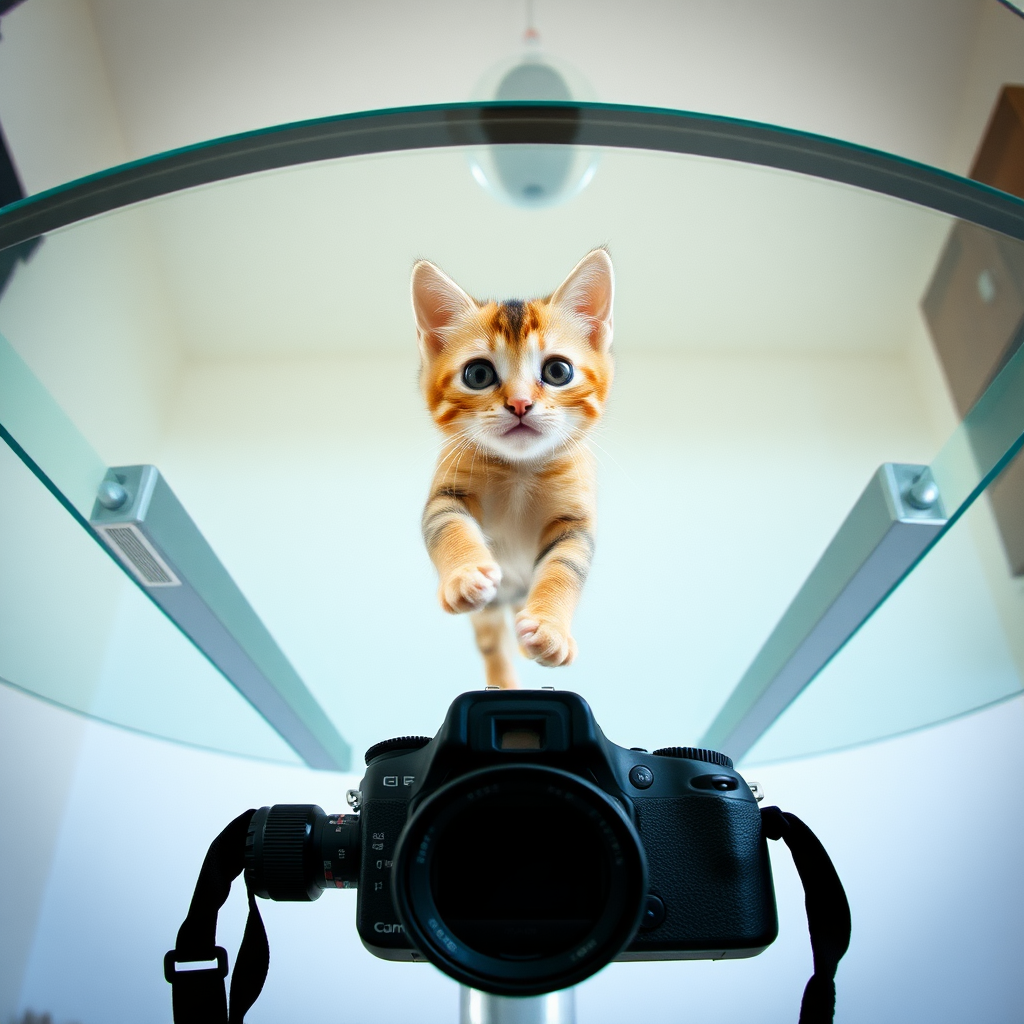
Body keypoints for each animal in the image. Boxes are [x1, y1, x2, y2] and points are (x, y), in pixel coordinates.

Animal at [409, 247, 614, 688]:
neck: (521, 469)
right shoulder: (446, 494)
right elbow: (448, 527)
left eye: (558, 371)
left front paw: (550, 628)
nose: (520, 403)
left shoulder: (576, 525)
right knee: (492, 641)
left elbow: (564, 569)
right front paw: (464, 574)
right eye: (478, 374)